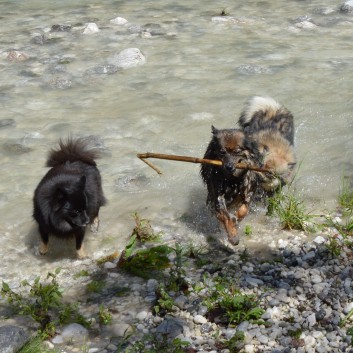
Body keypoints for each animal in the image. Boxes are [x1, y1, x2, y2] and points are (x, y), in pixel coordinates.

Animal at [201, 96, 294, 245]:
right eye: (221, 152)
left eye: (238, 151)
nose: (229, 166)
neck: (232, 179)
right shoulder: (218, 195)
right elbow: (225, 216)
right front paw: (233, 235)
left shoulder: (248, 191)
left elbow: (243, 210)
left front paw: (237, 220)